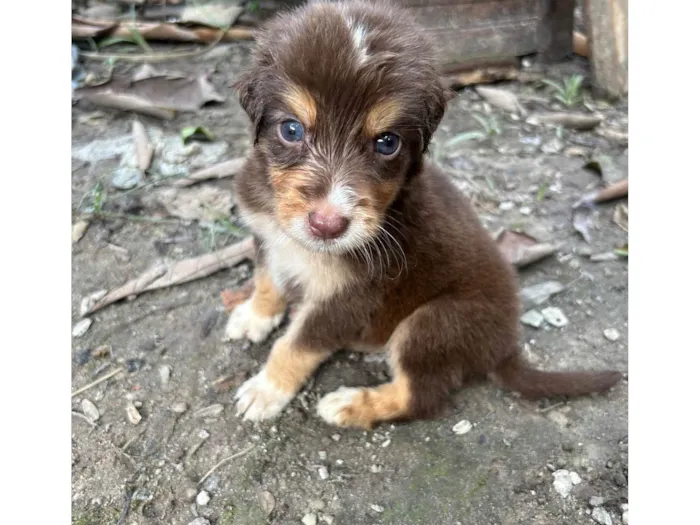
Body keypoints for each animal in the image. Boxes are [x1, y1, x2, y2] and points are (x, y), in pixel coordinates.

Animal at [223, 0, 616, 430]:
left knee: (421, 396)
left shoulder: (349, 297)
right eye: (291, 130)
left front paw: (267, 390)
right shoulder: (266, 236)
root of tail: (504, 349)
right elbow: (267, 281)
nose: (328, 225)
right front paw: (254, 316)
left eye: (387, 142)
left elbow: (296, 345)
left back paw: (351, 404)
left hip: (433, 324)